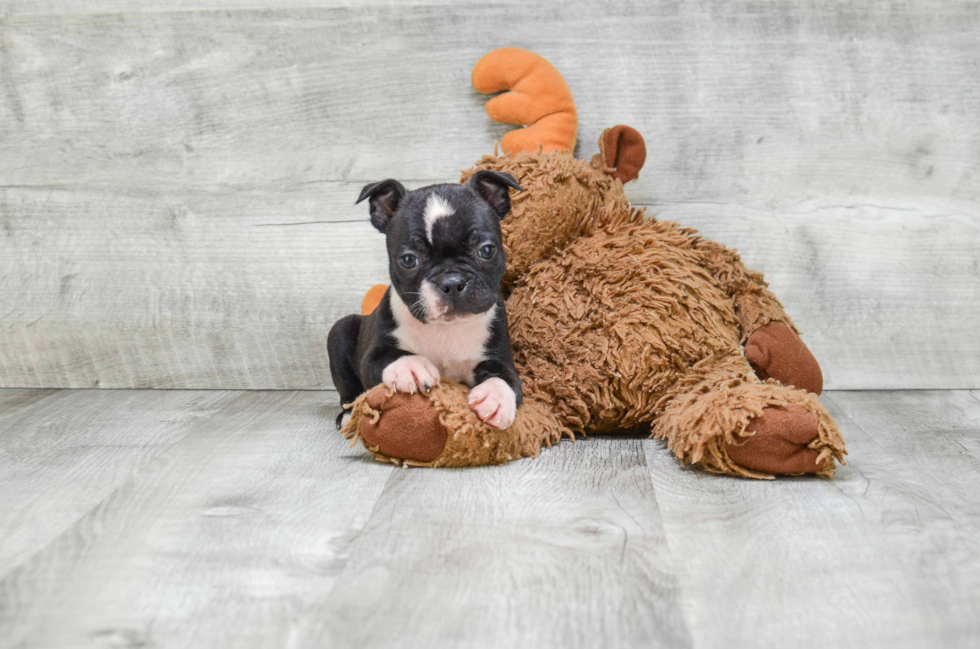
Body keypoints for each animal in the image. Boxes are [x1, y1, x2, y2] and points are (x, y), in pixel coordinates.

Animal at [328, 173, 528, 430]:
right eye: (408, 260)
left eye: (486, 250)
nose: (452, 282)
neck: (446, 328)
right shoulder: (371, 358)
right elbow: (388, 357)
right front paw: (412, 366)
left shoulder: (499, 358)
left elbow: (507, 379)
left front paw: (496, 397)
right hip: (340, 331)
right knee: (348, 391)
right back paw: (348, 415)